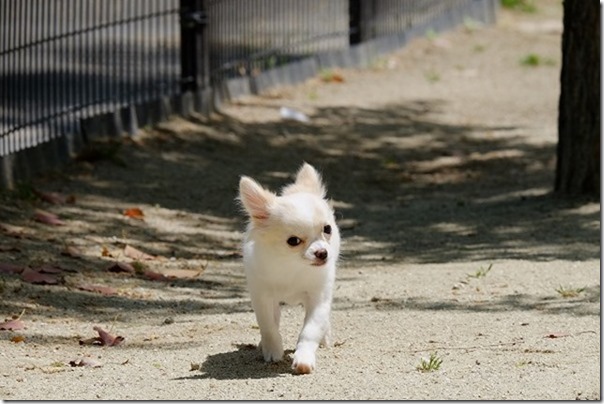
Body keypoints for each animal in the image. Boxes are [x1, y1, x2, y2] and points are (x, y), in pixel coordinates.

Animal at [238, 163, 340, 374]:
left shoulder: (318, 298)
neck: (292, 266)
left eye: (327, 229)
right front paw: (272, 350)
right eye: (293, 241)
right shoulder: (262, 297)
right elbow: (268, 325)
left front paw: (304, 358)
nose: (322, 253)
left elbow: (310, 330)